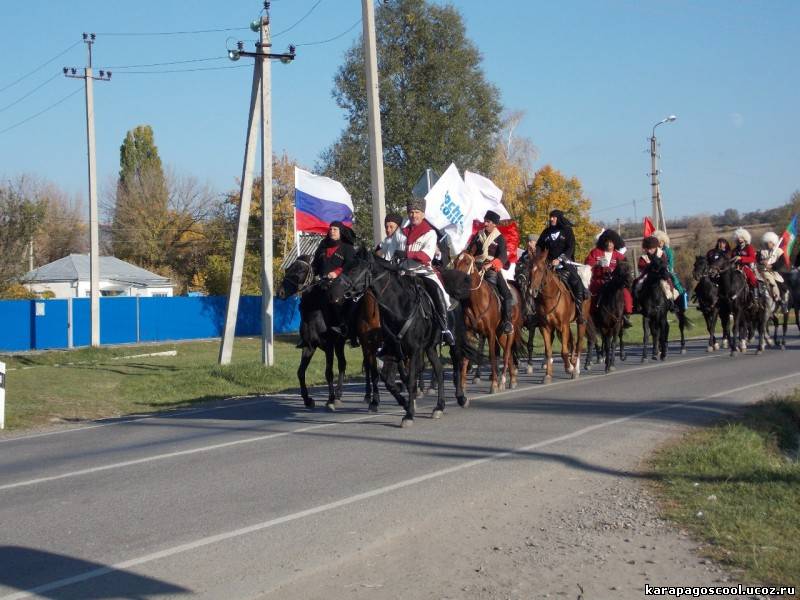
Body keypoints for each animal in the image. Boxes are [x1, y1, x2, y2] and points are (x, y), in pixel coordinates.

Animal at [276, 255, 346, 410]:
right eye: (288, 269)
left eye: (300, 271)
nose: (280, 293)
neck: (314, 313)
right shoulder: (309, 347)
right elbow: (300, 372)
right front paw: (307, 399)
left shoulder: (329, 347)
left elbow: (329, 372)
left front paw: (330, 399)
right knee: (343, 364)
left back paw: (338, 396)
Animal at [454, 252, 520, 394]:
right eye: (455, 261)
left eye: (467, 262)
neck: (476, 301)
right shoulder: (469, 333)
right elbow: (466, 358)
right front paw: (462, 386)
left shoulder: (490, 332)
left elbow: (492, 356)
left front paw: (494, 384)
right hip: (500, 334)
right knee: (509, 355)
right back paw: (512, 380)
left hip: (509, 331)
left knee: (507, 353)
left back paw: (503, 381)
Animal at [520, 250, 592, 384]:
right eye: (529, 269)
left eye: (541, 270)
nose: (532, 291)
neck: (549, 298)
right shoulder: (545, 327)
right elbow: (548, 352)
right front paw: (548, 375)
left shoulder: (563, 325)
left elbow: (564, 351)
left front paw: (569, 368)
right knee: (572, 342)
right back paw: (573, 362)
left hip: (580, 322)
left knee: (578, 344)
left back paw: (576, 369)